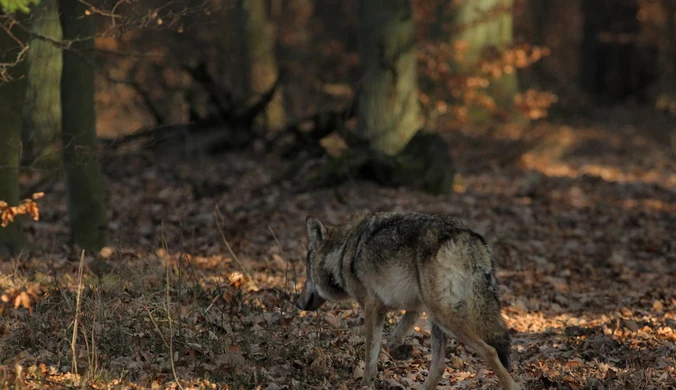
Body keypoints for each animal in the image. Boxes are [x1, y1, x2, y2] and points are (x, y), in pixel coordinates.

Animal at [294, 212, 520, 388]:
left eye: (306, 270)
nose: (297, 302)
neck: (342, 252)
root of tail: (466, 236)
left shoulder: (372, 308)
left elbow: (370, 357)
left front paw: (365, 384)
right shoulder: (414, 308)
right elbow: (391, 340)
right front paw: (400, 351)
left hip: (443, 316)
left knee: (490, 351)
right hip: (437, 318)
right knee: (439, 367)